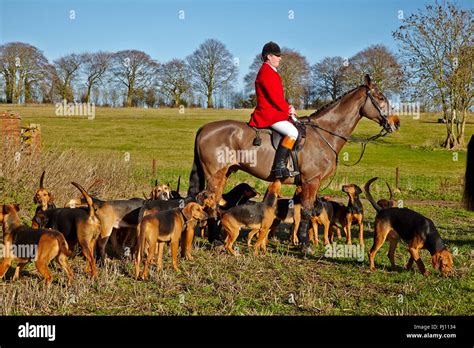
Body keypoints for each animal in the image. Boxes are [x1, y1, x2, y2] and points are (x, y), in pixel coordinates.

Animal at [189, 75, 400, 250]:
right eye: (380, 97)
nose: (396, 123)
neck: (324, 133)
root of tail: (204, 128)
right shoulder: (311, 181)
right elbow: (306, 212)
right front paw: (306, 245)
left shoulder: (304, 184)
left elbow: (303, 214)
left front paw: (298, 240)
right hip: (215, 175)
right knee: (210, 204)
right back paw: (216, 241)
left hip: (225, 173)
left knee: (215, 204)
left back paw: (215, 238)